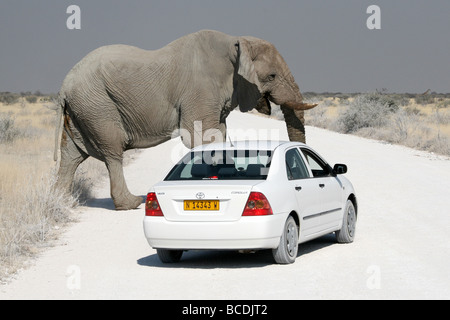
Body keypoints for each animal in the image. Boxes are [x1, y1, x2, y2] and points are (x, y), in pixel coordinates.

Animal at [55, 30, 316, 210]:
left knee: (71, 155)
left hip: (82, 111)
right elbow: (201, 137)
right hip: (98, 105)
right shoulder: (200, 90)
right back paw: (131, 203)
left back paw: (63, 201)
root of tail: (63, 87)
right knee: (112, 151)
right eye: (271, 76)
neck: (236, 42)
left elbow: (219, 134)